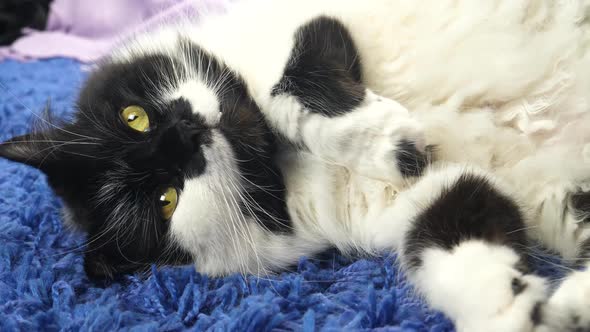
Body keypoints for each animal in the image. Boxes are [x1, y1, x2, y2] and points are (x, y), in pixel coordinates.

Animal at [1, 0, 590, 330]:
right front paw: (515, 311)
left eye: (135, 117)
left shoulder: (311, 22)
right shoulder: (421, 200)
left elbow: (283, 88)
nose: (185, 135)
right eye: (166, 201)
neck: (277, 159)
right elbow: (449, 239)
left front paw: (391, 144)